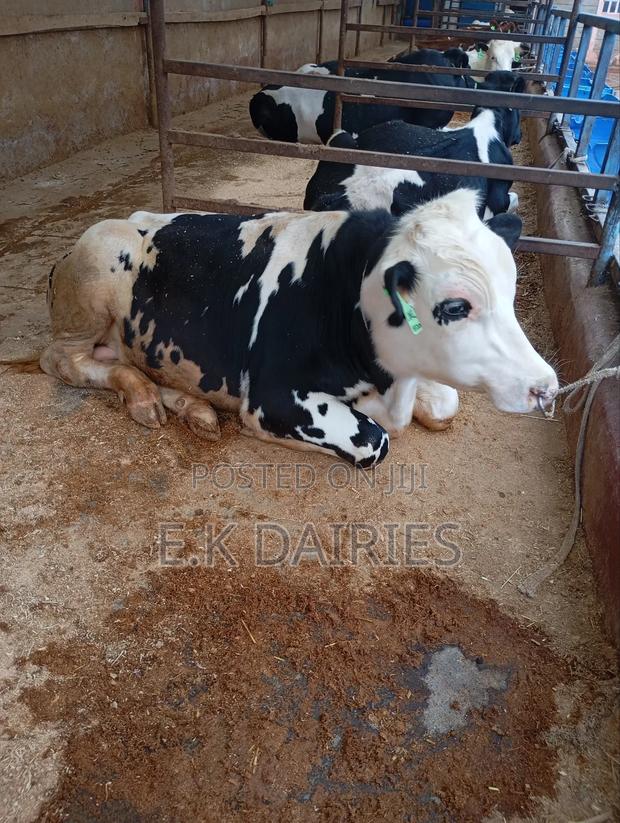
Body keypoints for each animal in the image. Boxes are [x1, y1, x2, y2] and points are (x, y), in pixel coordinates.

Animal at [40, 190, 557, 467]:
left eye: (511, 292)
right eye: (454, 306)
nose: (546, 388)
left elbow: (446, 402)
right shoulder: (271, 399)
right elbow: (376, 439)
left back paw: (192, 408)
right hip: (94, 275)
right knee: (62, 359)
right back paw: (144, 397)